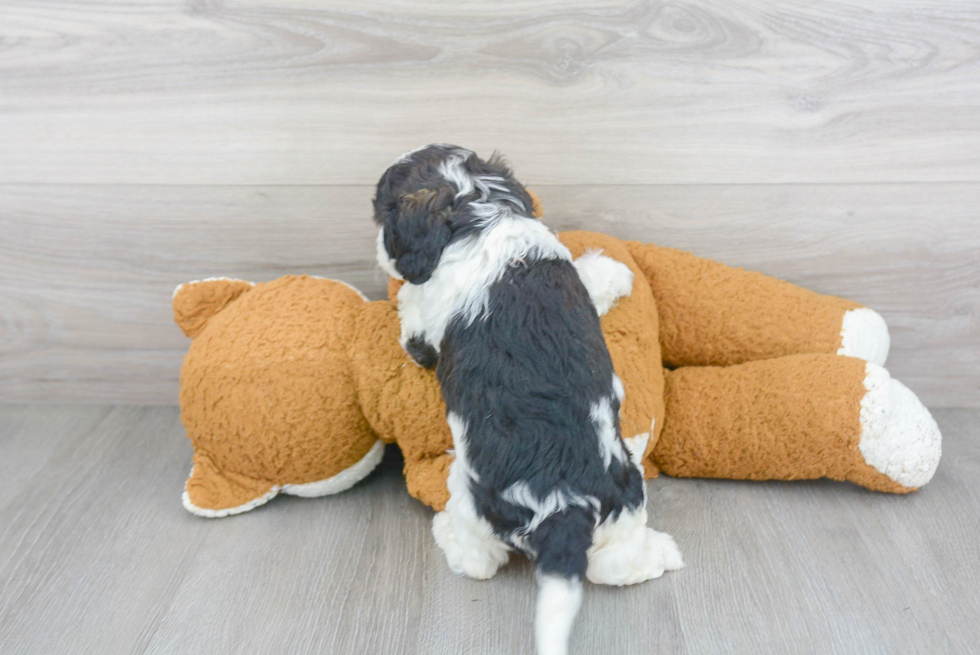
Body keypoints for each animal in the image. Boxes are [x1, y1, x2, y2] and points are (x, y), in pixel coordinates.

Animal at [372, 145, 676, 655]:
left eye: (380, 212)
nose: (380, 252)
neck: (478, 211)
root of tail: (565, 506)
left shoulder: (424, 328)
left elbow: (412, 319)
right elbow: (588, 276)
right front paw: (612, 273)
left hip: (471, 494)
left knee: (480, 561)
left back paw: (446, 533)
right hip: (627, 491)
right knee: (614, 566)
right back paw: (661, 555)